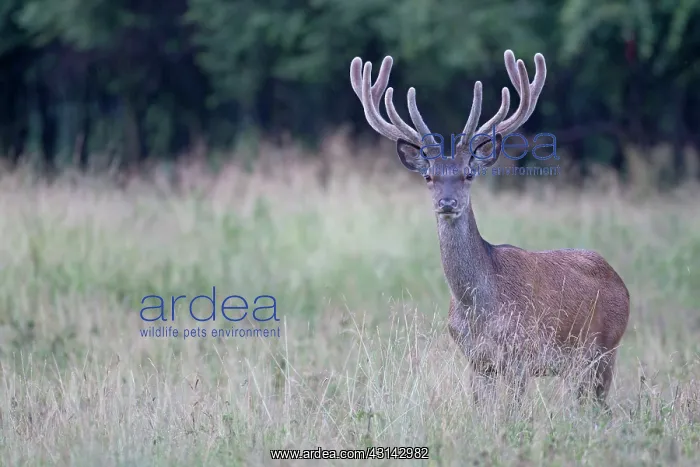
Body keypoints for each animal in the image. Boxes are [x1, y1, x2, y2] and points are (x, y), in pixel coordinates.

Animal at [349, 50, 630, 413]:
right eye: (428, 176)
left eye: (469, 174)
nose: (447, 202)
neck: (478, 310)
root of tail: (621, 283)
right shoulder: (477, 361)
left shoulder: (521, 356)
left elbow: (513, 415)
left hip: (605, 349)